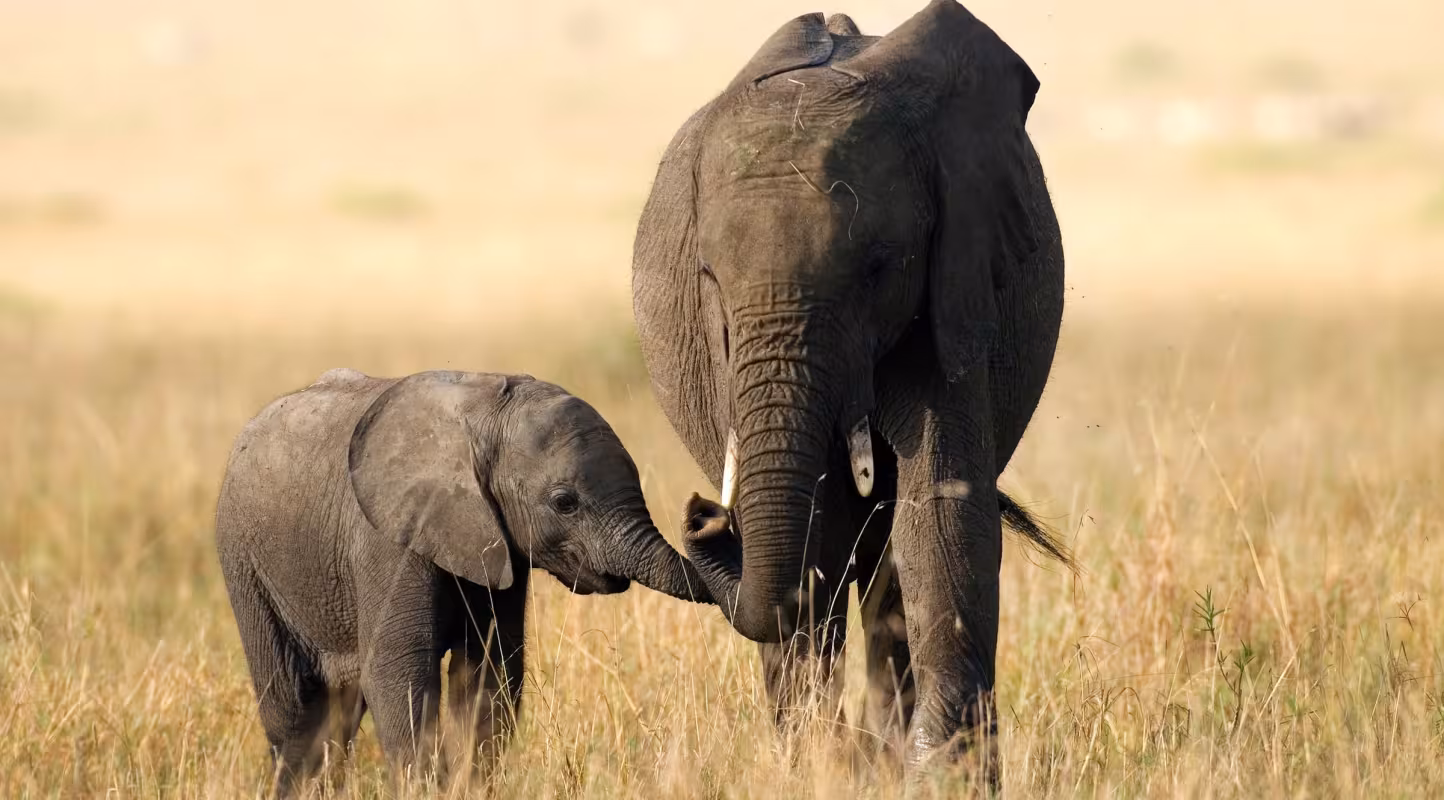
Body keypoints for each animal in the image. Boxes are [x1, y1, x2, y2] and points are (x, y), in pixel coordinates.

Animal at [215, 368, 711, 795]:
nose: (705, 513)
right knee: (293, 710)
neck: (483, 413)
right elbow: (398, 674)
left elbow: (490, 675)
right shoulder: (388, 540)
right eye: (564, 502)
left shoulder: (499, 547)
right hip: (245, 563)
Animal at [631, 1, 1071, 771]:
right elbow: (816, 534)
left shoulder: (954, 275)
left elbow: (939, 508)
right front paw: (823, 763)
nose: (703, 516)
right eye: (708, 278)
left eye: (876, 268)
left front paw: (938, 769)